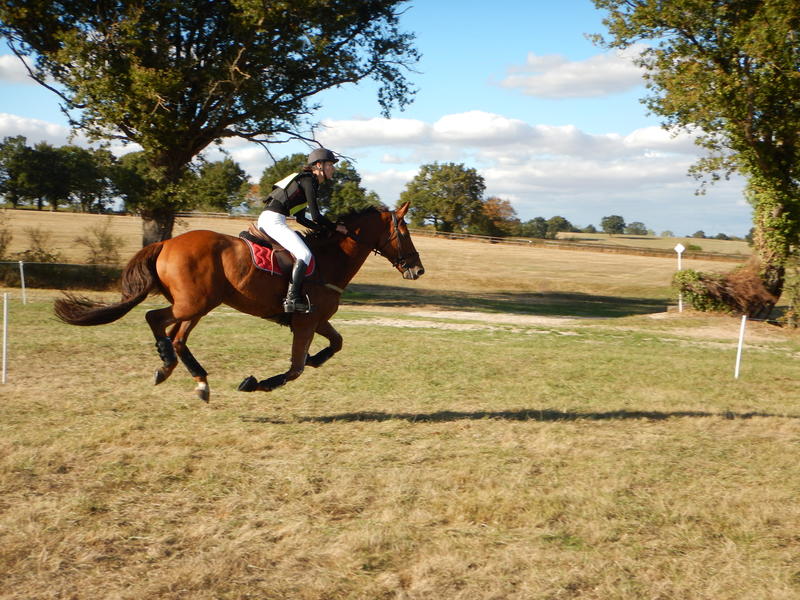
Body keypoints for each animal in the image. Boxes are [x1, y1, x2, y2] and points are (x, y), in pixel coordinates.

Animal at [53, 202, 424, 402]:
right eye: (404, 232)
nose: (417, 269)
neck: (330, 257)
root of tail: (166, 243)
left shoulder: (318, 320)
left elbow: (335, 344)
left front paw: (316, 359)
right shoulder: (305, 321)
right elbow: (295, 368)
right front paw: (256, 383)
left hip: (198, 305)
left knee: (175, 336)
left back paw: (186, 375)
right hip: (194, 304)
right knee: (157, 321)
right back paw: (177, 370)